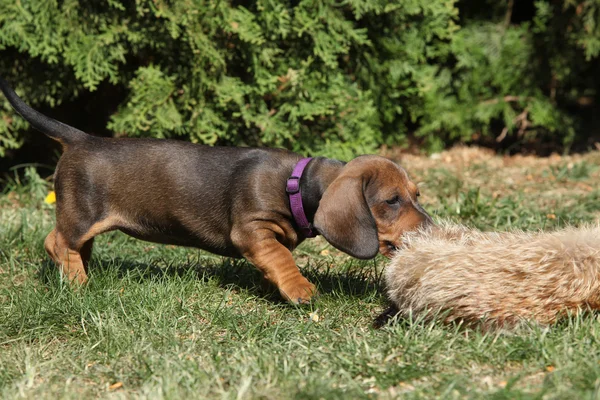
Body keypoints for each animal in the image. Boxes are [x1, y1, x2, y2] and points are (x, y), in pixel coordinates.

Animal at [0, 77, 432, 304]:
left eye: (417, 194)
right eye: (391, 201)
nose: (431, 229)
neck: (296, 185)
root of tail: (81, 139)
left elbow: (274, 260)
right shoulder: (252, 229)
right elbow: (281, 258)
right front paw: (299, 289)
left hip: (83, 216)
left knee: (72, 245)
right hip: (82, 212)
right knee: (57, 242)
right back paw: (78, 283)